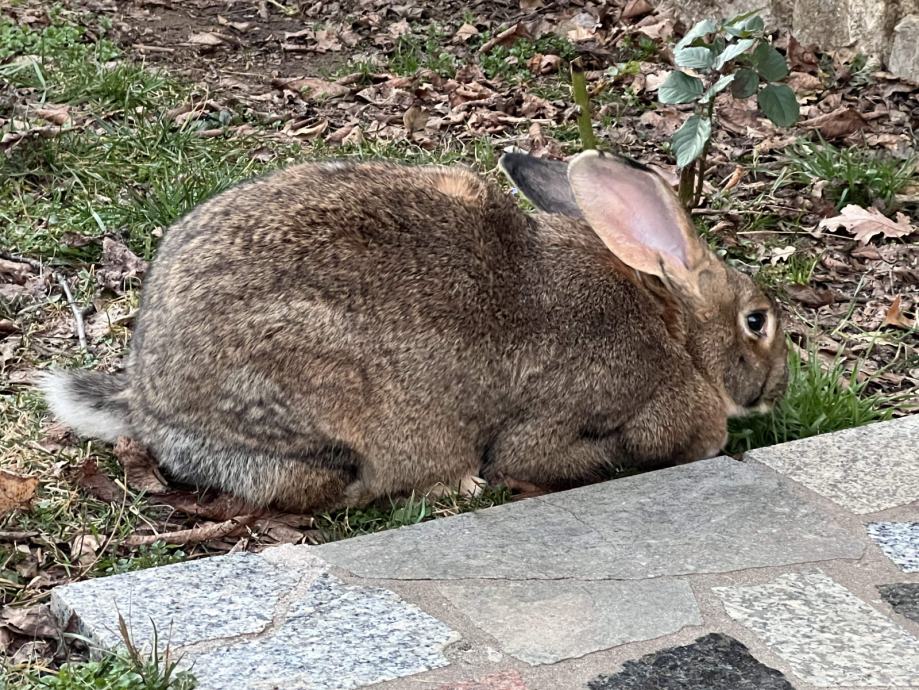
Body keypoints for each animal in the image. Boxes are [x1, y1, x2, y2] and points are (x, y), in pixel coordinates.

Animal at [41, 150, 788, 513]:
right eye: (756, 322)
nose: (779, 388)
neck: (676, 330)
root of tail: (149, 404)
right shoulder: (582, 411)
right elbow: (546, 454)